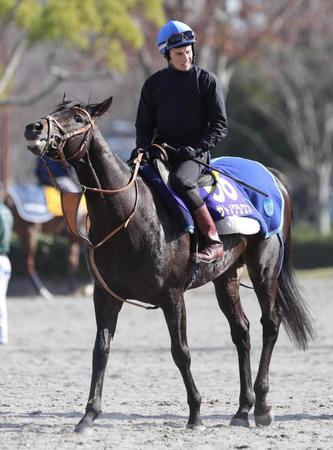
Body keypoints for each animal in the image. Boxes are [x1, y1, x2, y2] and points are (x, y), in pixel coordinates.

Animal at [24, 97, 314, 432]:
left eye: (78, 118)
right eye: (55, 111)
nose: (35, 127)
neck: (128, 215)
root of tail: (270, 175)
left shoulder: (172, 296)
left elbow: (181, 352)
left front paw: (196, 413)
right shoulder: (105, 295)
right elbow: (101, 349)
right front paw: (89, 415)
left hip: (263, 269)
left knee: (270, 323)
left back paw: (263, 405)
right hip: (226, 276)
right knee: (241, 331)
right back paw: (243, 409)